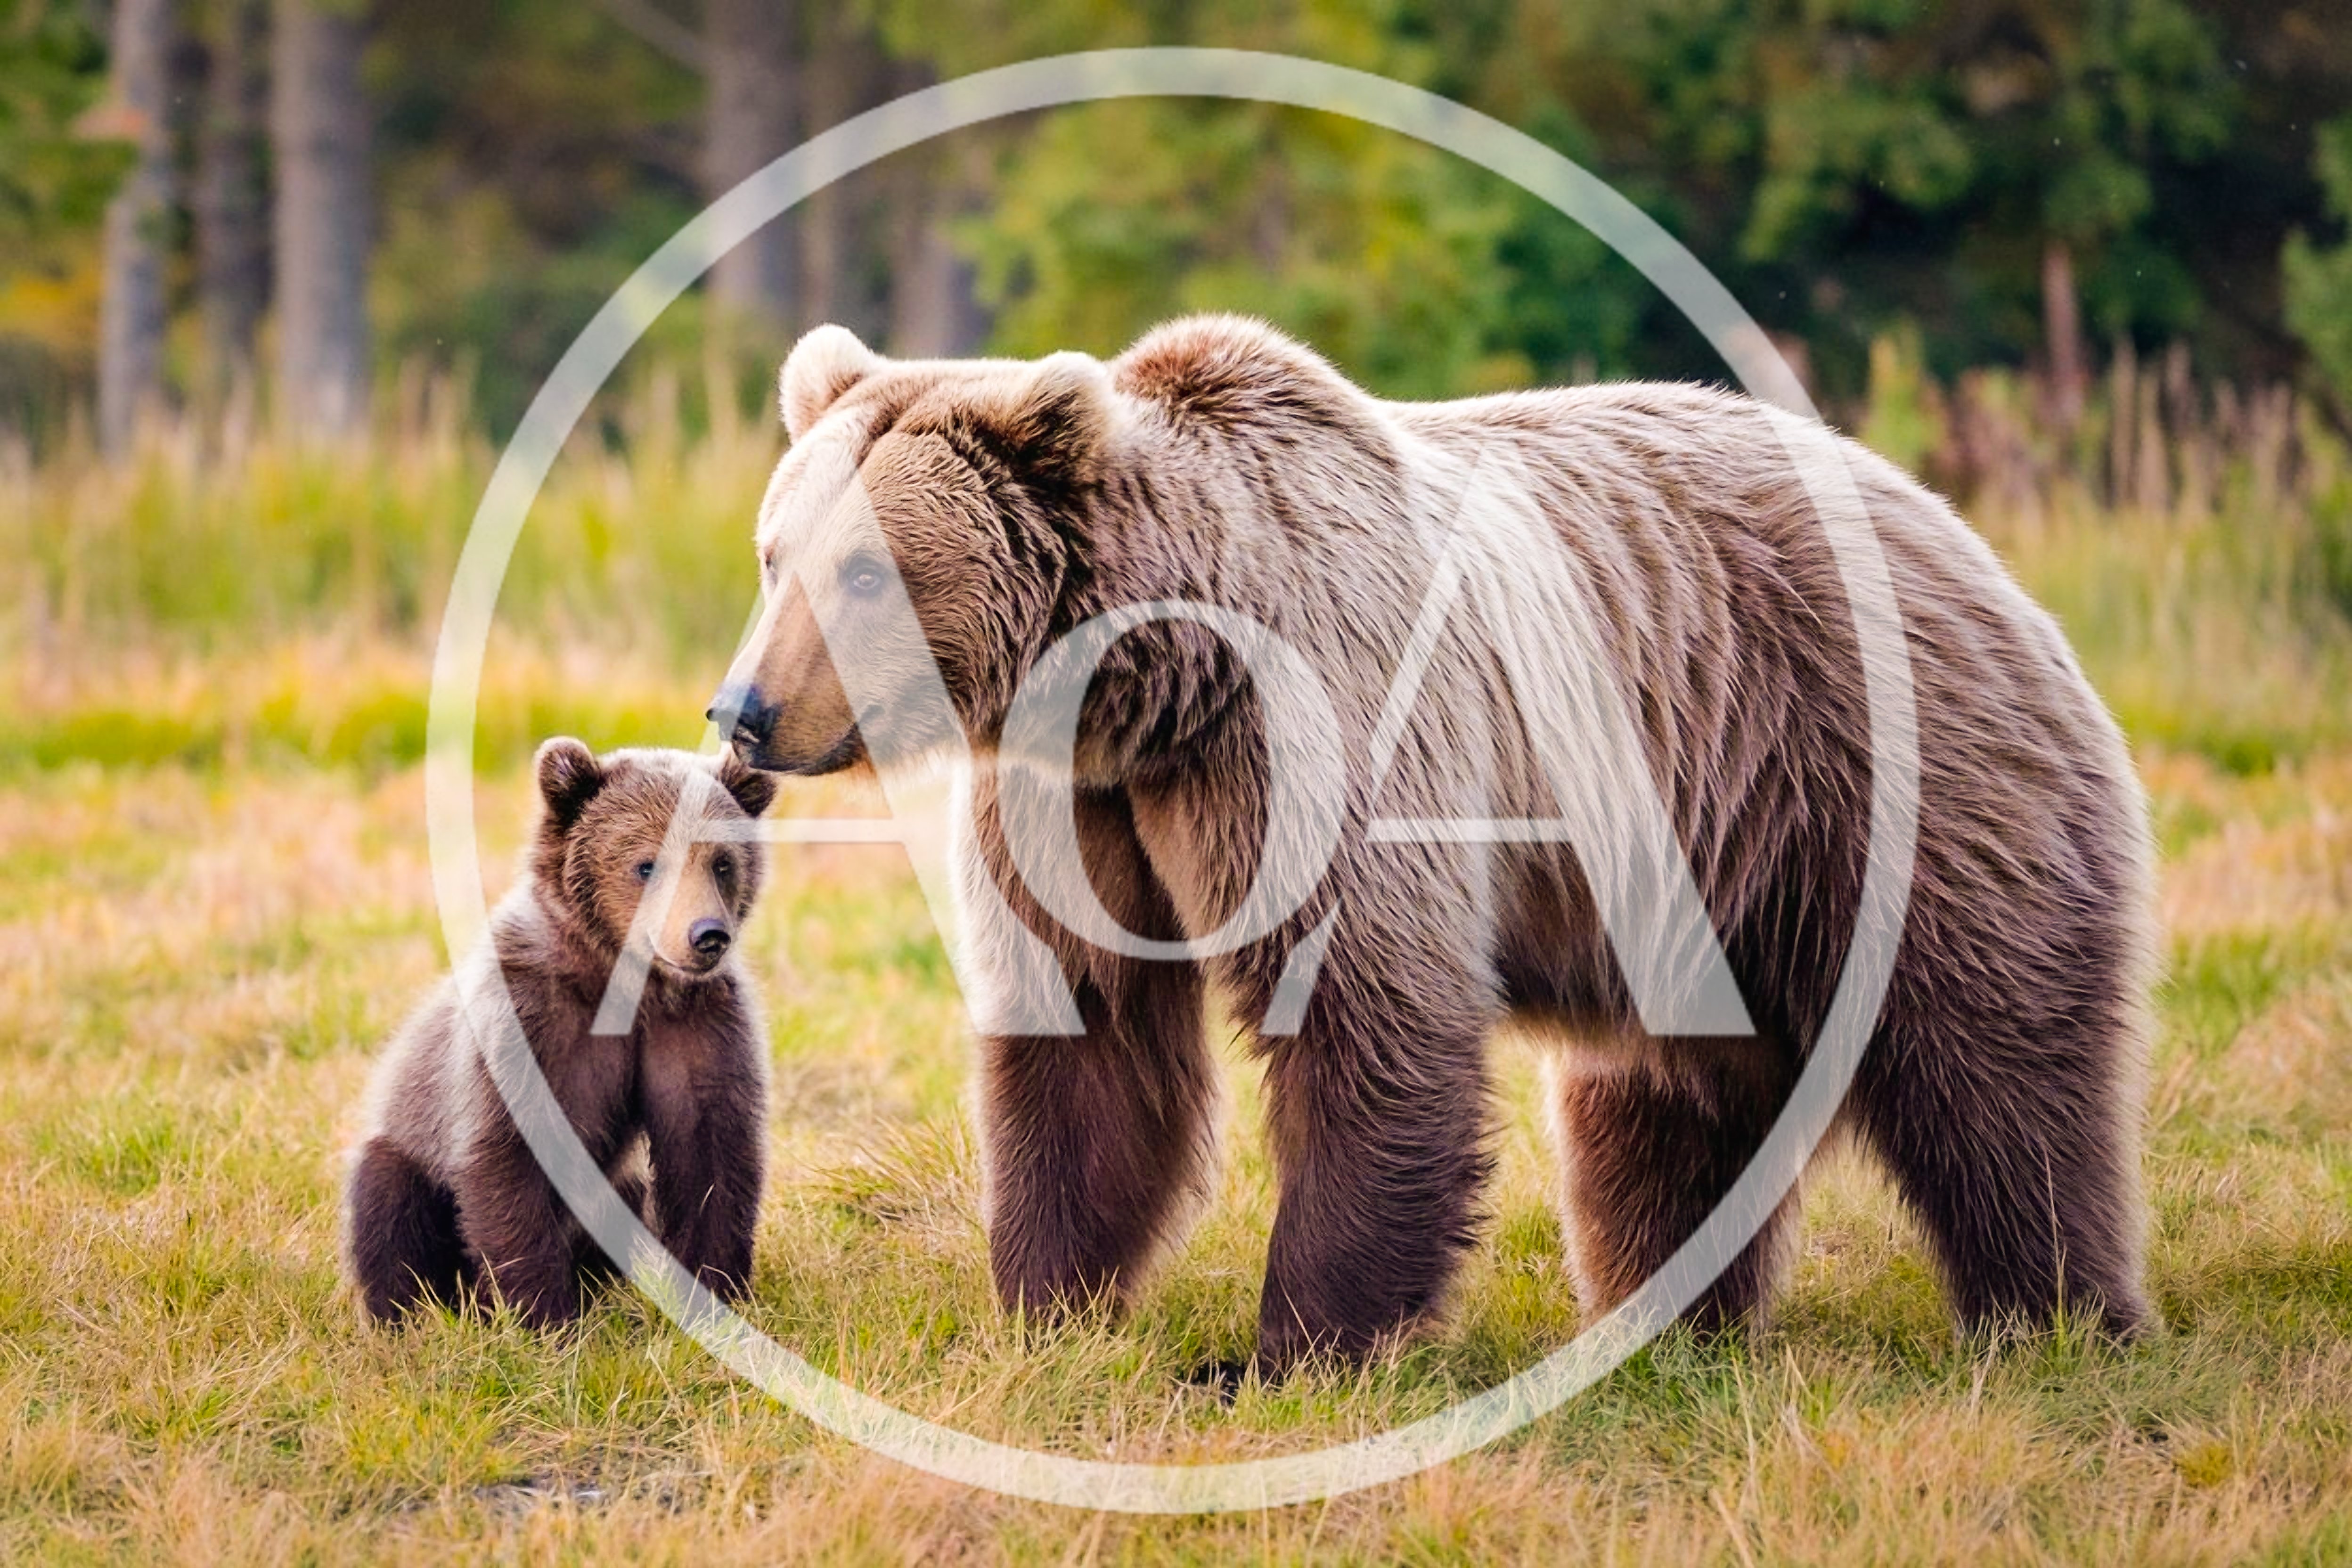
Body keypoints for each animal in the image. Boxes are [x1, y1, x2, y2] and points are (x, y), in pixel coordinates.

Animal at [345, 738, 777, 1328]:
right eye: (646, 863)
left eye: (722, 862)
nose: (705, 935)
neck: (623, 983)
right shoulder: (528, 1023)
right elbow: (508, 1157)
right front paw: (541, 1314)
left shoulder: (697, 1025)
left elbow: (709, 1151)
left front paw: (715, 1296)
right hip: (409, 1142)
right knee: (390, 1207)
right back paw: (413, 1313)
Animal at [708, 314, 2156, 1373]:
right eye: (775, 554)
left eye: (864, 572)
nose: (744, 712)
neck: (1154, 681)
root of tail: (1954, 524)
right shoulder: (1086, 804)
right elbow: (1088, 1032)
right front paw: (1046, 1307)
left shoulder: (1317, 739)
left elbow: (1368, 1014)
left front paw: (1290, 1349)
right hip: (1696, 863)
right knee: (1669, 1098)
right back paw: (1663, 1313)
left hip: (1876, 773)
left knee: (1992, 1055)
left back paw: (2056, 1313)